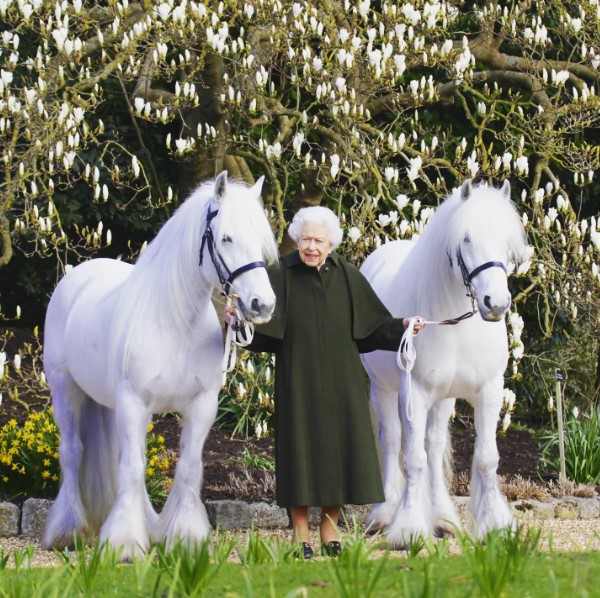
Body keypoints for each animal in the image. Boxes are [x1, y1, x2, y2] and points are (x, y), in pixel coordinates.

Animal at [43, 171, 278, 560]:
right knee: (73, 452)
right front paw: (124, 543)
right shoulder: (134, 402)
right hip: (65, 389)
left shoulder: (201, 406)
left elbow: (187, 467)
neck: (175, 321)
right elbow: (132, 468)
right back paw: (67, 531)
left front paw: (185, 538)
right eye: (226, 237)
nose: (263, 305)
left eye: (261, 241)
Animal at [358, 180, 528, 552]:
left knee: (434, 447)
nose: (496, 304)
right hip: (383, 388)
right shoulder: (415, 393)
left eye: (506, 240)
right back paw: (385, 514)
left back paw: (442, 518)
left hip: (444, 399)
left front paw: (495, 525)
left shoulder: (488, 391)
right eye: (466, 239)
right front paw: (408, 529)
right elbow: (412, 459)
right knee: (392, 442)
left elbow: (485, 458)